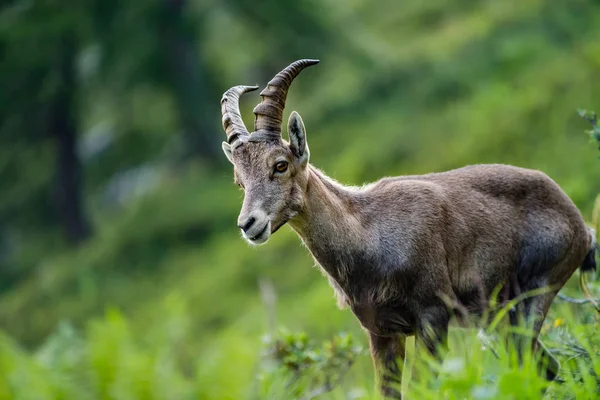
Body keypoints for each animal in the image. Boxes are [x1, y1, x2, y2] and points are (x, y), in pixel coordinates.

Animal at [219, 58, 596, 396]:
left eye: (280, 165)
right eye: (239, 180)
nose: (248, 224)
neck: (369, 235)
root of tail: (580, 224)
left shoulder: (433, 316)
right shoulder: (382, 331)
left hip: (538, 290)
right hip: (501, 316)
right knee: (543, 366)